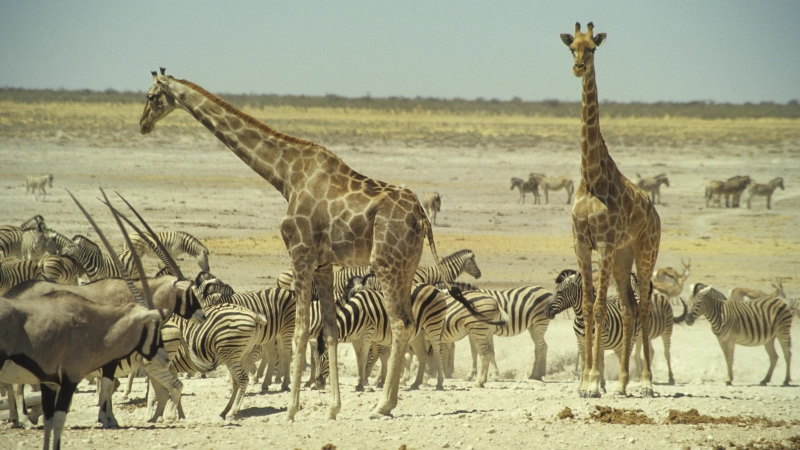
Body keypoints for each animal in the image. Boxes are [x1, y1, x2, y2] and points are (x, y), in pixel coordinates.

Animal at [136, 68, 462, 420]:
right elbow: (329, 331)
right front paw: (333, 407)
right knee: (409, 322)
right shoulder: (324, 264)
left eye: (151, 96)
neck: (285, 175)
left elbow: (300, 331)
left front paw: (292, 409)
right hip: (406, 264)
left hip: (387, 263)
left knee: (401, 323)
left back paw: (382, 405)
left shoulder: (300, 253)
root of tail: (422, 216)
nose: (143, 124)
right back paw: (387, 401)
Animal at [548, 268, 684, 388]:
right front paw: (581, 386)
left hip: (640, 336)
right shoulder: (580, 341)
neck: (582, 318)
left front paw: (601, 386)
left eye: (560, 292)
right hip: (618, 343)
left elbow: (600, 363)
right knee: (622, 359)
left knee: (632, 357)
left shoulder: (601, 341)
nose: (547, 312)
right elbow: (583, 364)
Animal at [560, 23, 660, 398]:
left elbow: (601, 307)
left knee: (643, 306)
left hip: (645, 252)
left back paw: (646, 383)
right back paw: (622, 384)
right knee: (630, 307)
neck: (591, 176)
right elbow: (589, 305)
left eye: (593, 49)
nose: (578, 67)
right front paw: (587, 382)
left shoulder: (602, 243)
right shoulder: (581, 243)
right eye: (571, 46)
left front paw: (591, 382)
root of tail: (655, 212)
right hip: (622, 256)